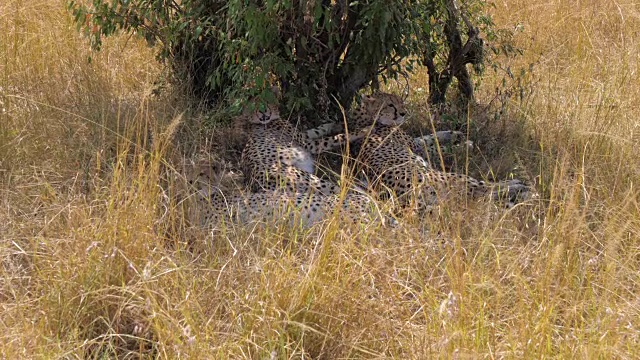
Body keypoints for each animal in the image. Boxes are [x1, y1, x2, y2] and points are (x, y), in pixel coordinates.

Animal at [348, 92, 532, 208]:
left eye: (400, 101)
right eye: (390, 105)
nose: (403, 113)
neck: (366, 119)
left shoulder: (415, 143)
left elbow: (430, 136)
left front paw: (454, 133)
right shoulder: (418, 150)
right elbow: (440, 148)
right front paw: (465, 144)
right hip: (448, 176)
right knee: (482, 190)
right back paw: (519, 186)